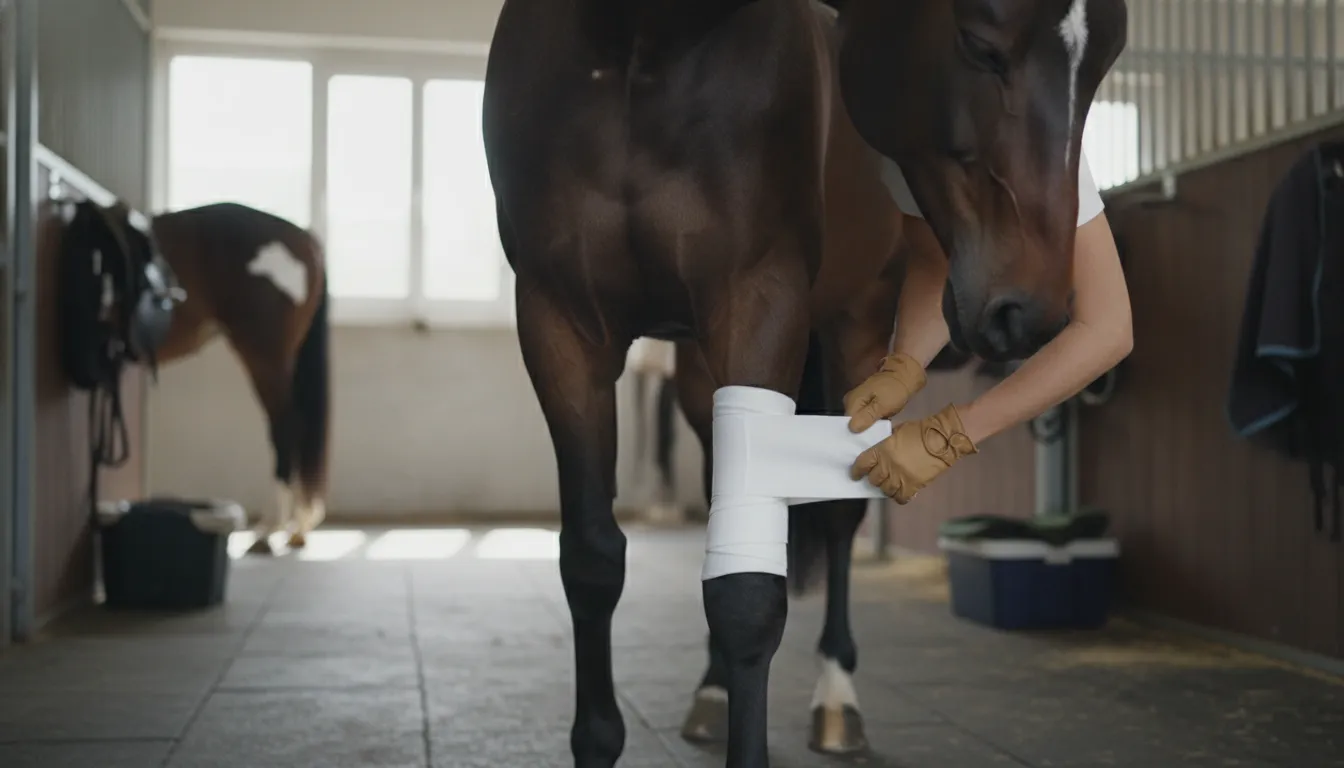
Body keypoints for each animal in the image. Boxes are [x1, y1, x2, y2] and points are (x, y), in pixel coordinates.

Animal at [482, 0, 1124, 765]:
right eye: (977, 42)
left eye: (1108, 62)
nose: (1033, 313)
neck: (641, 42)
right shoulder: (559, 323)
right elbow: (592, 560)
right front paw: (602, 735)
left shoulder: (761, 303)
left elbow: (748, 595)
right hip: (699, 370)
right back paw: (713, 691)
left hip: (856, 324)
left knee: (841, 516)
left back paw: (837, 700)